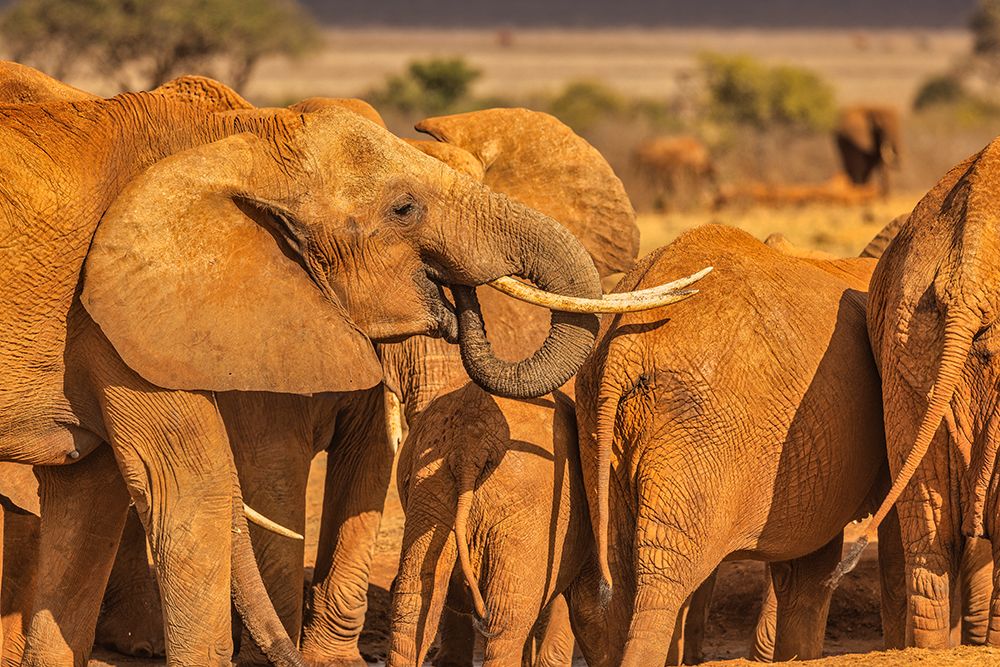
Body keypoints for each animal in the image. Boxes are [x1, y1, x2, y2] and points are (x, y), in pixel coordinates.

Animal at [1, 61, 689, 665]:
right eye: (404, 209)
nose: (457, 301)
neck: (243, 136)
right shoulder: (125, 317)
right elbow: (215, 479)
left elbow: (93, 495)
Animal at [576, 224, 894, 665]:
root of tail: (626, 347)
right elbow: (812, 573)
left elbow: (803, 571)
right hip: (697, 433)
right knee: (662, 578)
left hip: (597, 428)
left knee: (617, 574)